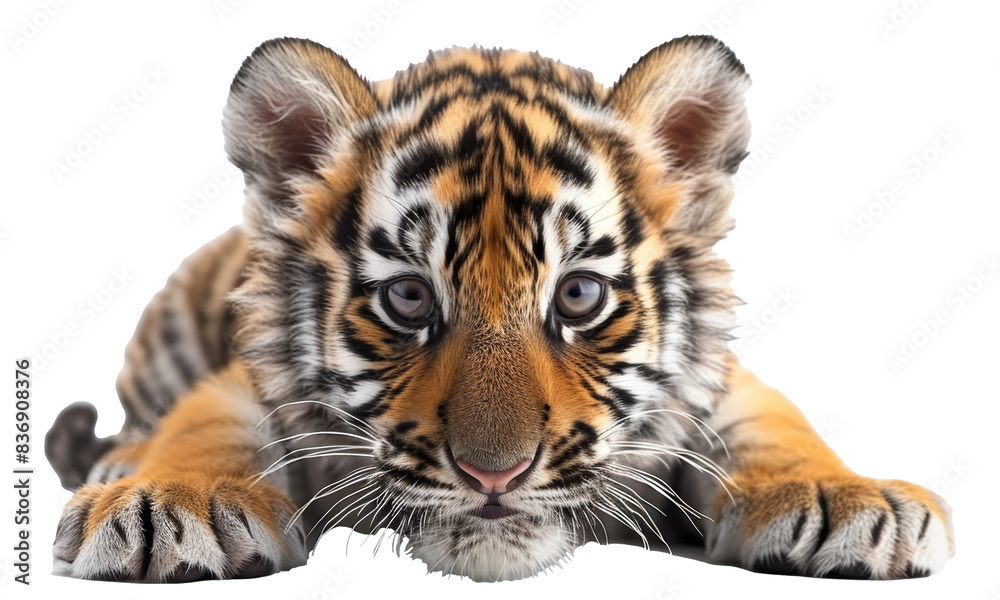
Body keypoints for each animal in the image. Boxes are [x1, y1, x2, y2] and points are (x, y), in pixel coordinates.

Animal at [44, 35, 954, 583]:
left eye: (579, 295)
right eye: (409, 296)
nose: (495, 475)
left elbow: (775, 424)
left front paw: (852, 499)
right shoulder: (250, 381)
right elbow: (204, 426)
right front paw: (168, 503)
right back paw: (124, 466)